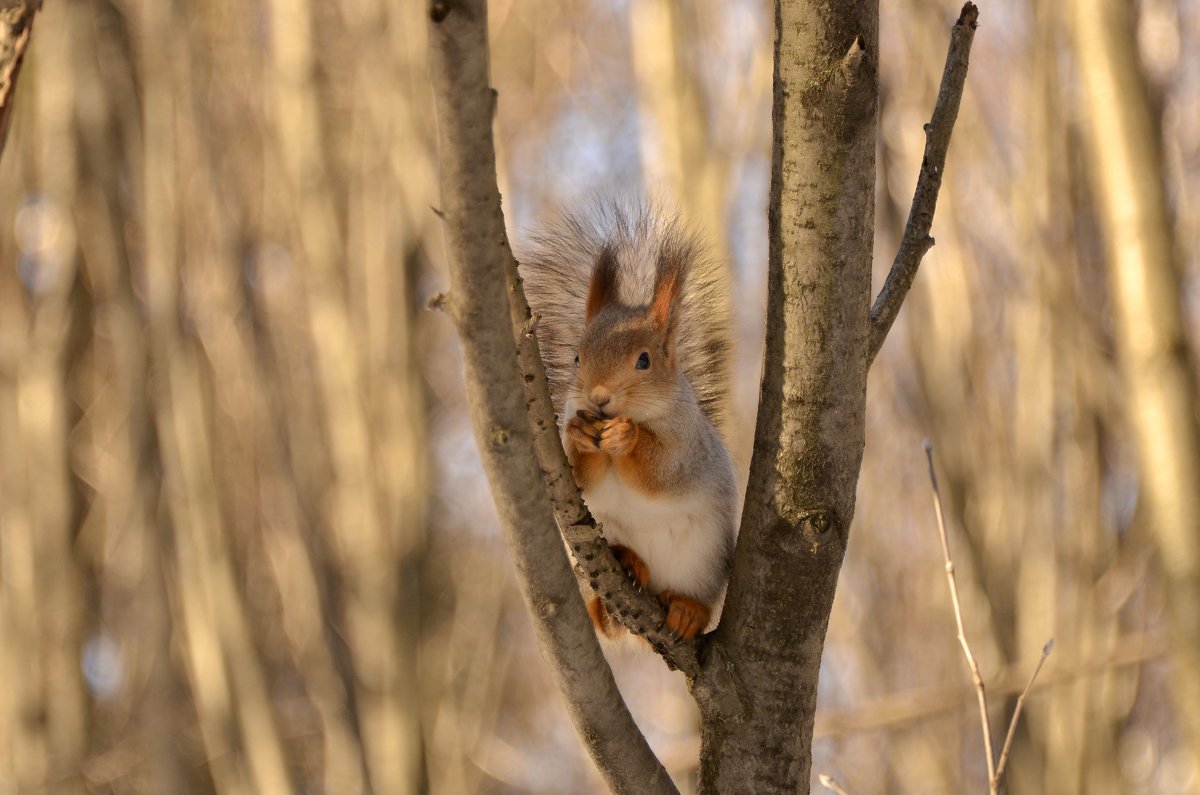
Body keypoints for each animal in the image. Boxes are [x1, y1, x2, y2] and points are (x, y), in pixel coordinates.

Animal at [520, 202, 734, 643]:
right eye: (577, 358)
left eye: (644, 360)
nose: (599, 397)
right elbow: (580, 480)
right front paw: (580, 436)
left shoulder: (687, 447)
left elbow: (661, 475)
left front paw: (627, 436)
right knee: (608, 618)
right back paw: (624, 576)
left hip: (706, 559)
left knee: (696, 600)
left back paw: (687, 610)